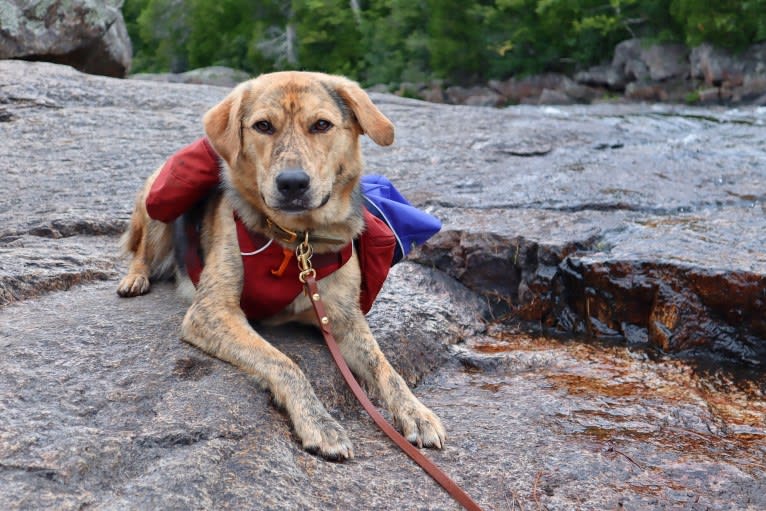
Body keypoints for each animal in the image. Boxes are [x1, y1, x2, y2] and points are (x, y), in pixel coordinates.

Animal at [117, 71, 448, 460]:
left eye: (322, 125)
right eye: (263, 126)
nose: (292, 183)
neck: (297, 239)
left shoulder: (344, 318)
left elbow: (385, 367)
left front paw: (416, 412)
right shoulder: (211, 312)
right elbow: (285, 363)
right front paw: (320, 424)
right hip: (158, 207)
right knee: (141, 247)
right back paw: (135, 279)